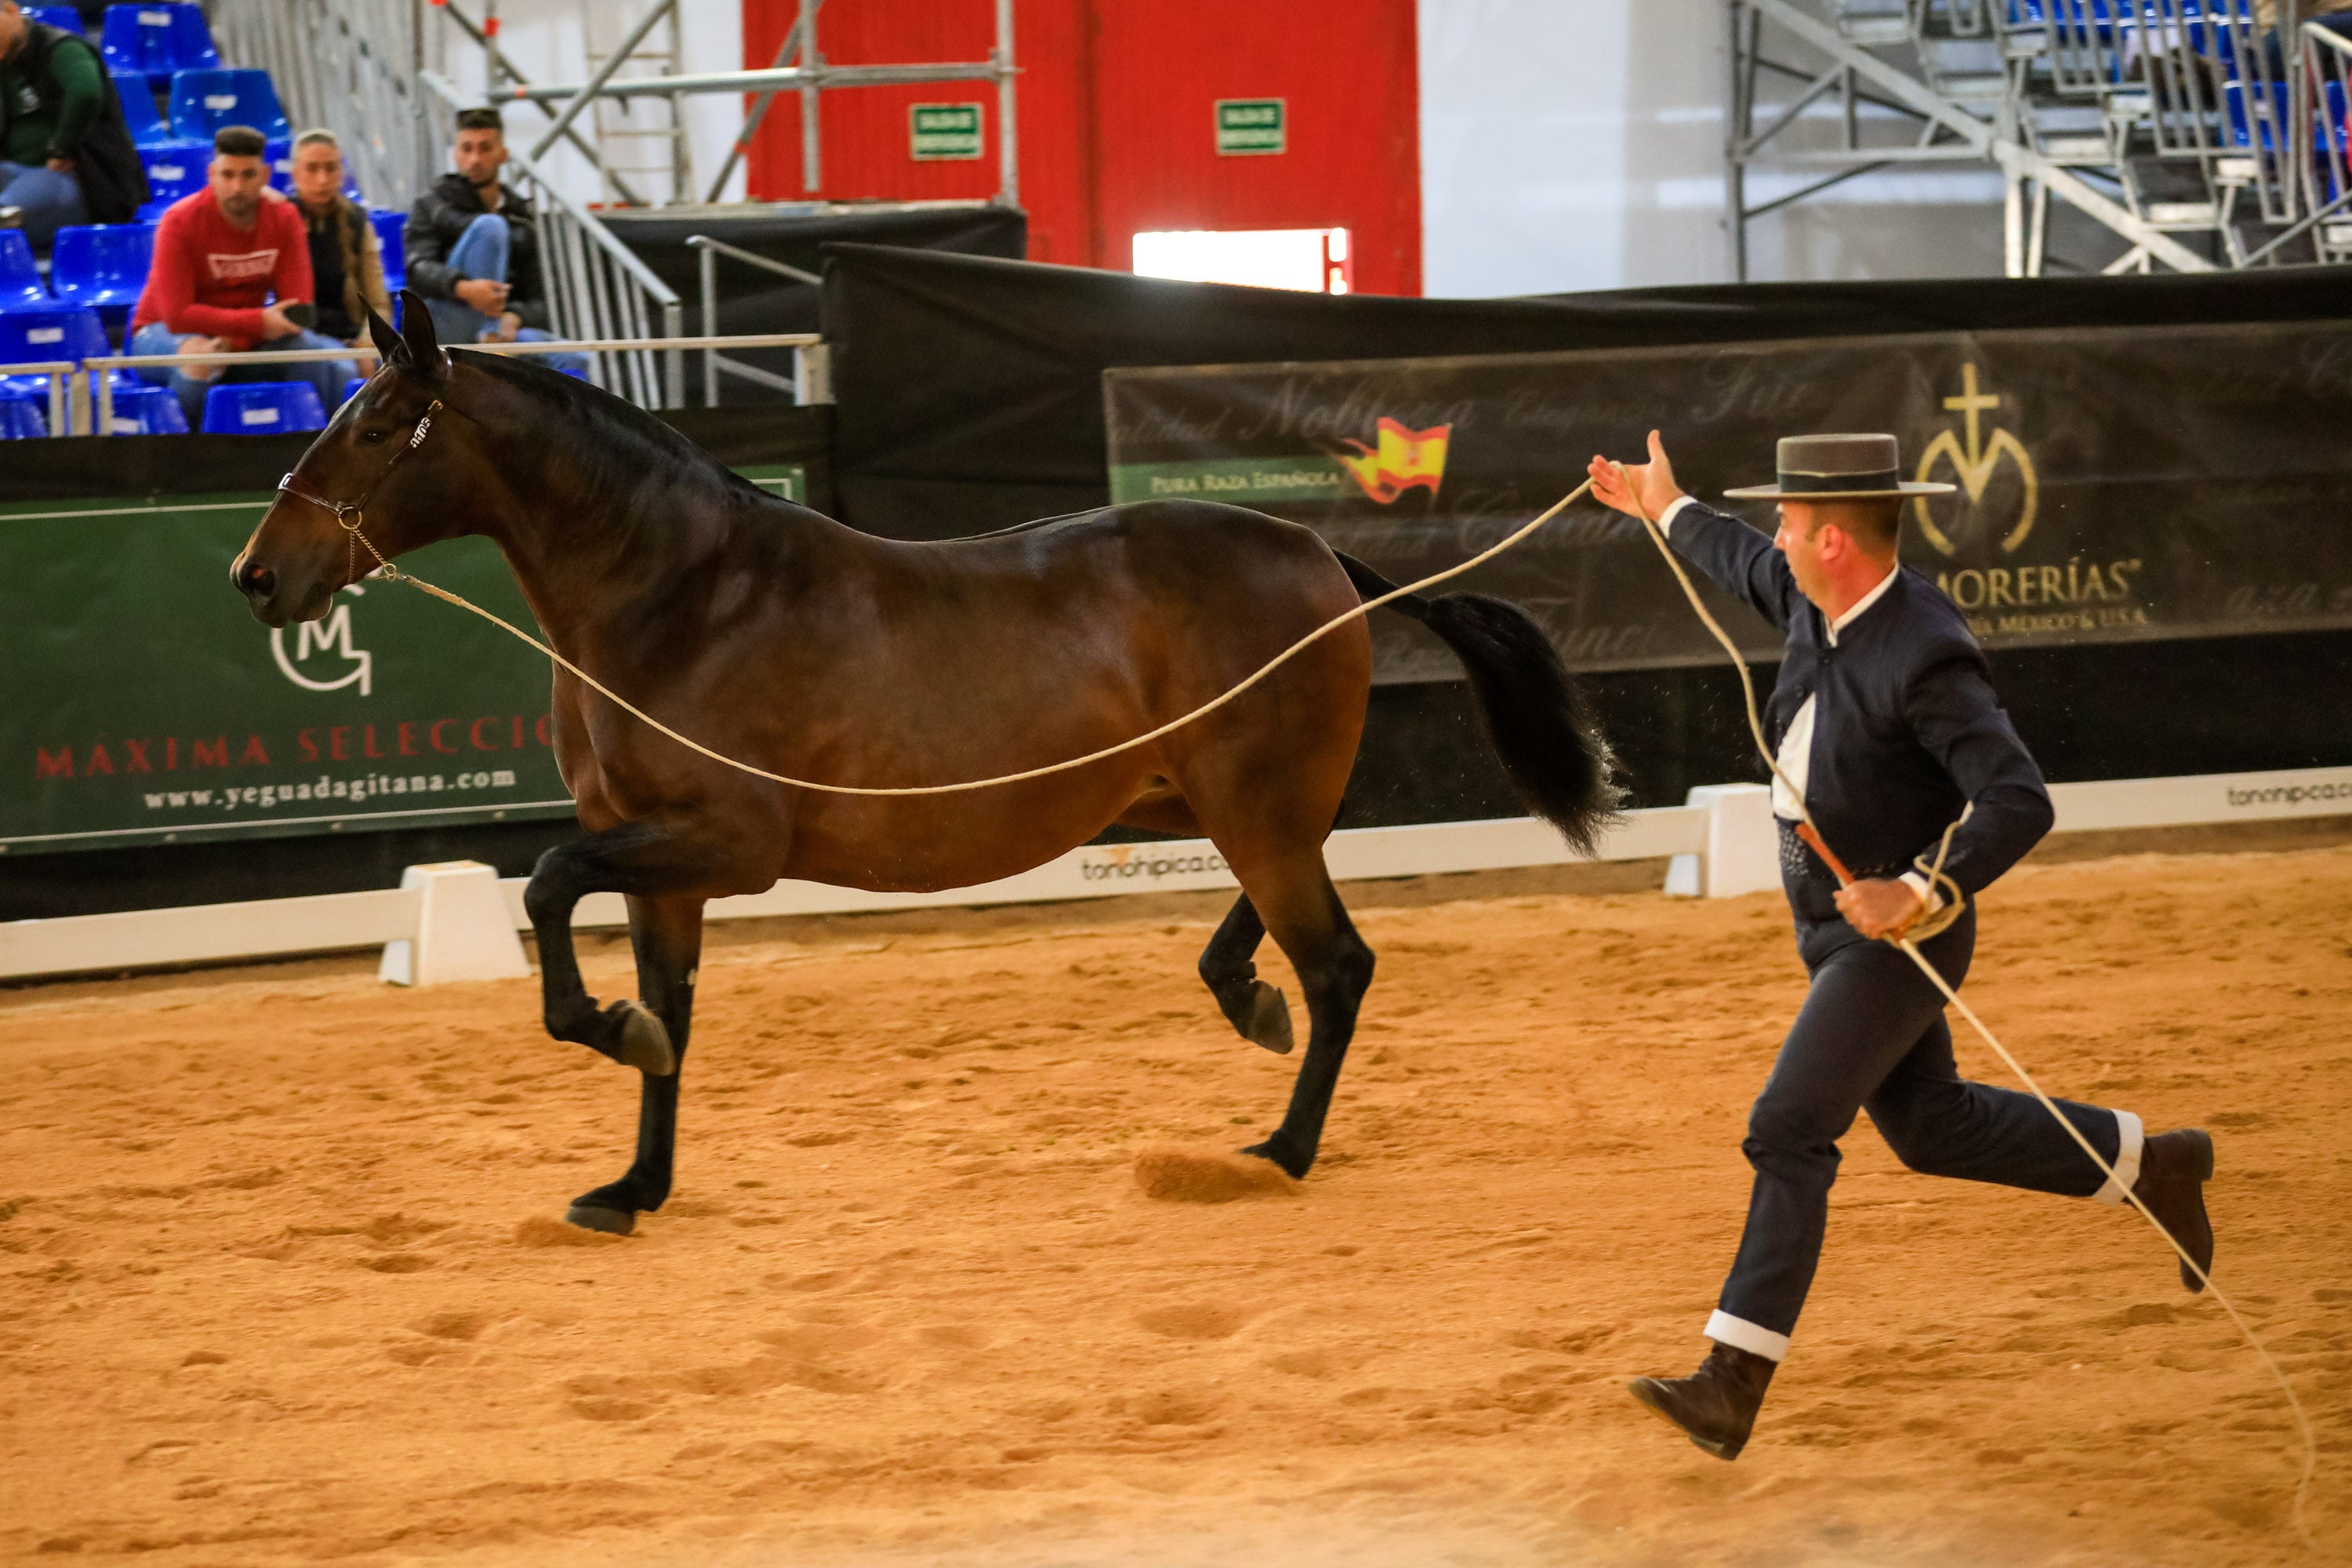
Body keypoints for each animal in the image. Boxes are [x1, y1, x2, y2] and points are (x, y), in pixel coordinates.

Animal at [229, 297, 1618, 1241]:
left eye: (376, 428)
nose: (257, 577)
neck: (682, 598)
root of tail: (1324, 560)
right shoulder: (667, 870)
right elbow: (673, 1010)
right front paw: (635, 1182)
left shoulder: (728, 844)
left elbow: (548, 886)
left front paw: (609, 1030)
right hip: (1232, 805)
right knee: (1286, 932)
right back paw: (1245, 1004)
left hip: (1257, 808)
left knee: (1337, 965)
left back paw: (1276, 1148)